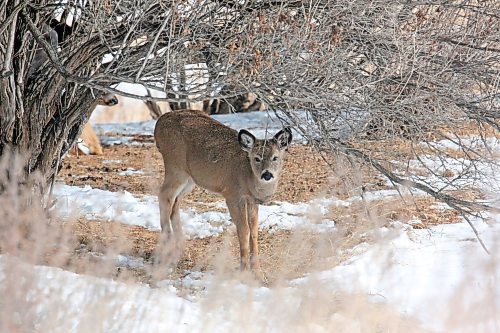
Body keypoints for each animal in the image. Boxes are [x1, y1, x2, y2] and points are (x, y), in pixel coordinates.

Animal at [154, 109, 292, 278]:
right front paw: (244, 270)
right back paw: (167, 244)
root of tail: (158, 123)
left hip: (190, 178)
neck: (247, 177)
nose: (267, 174)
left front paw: (258, 272)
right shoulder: (232, 195)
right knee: (164, 194)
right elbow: (243, 230)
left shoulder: (252, 200)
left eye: (275, 157)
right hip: (175, 166)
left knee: (175, 200)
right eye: (257, 158)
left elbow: (254, 231)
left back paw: (179, 246)